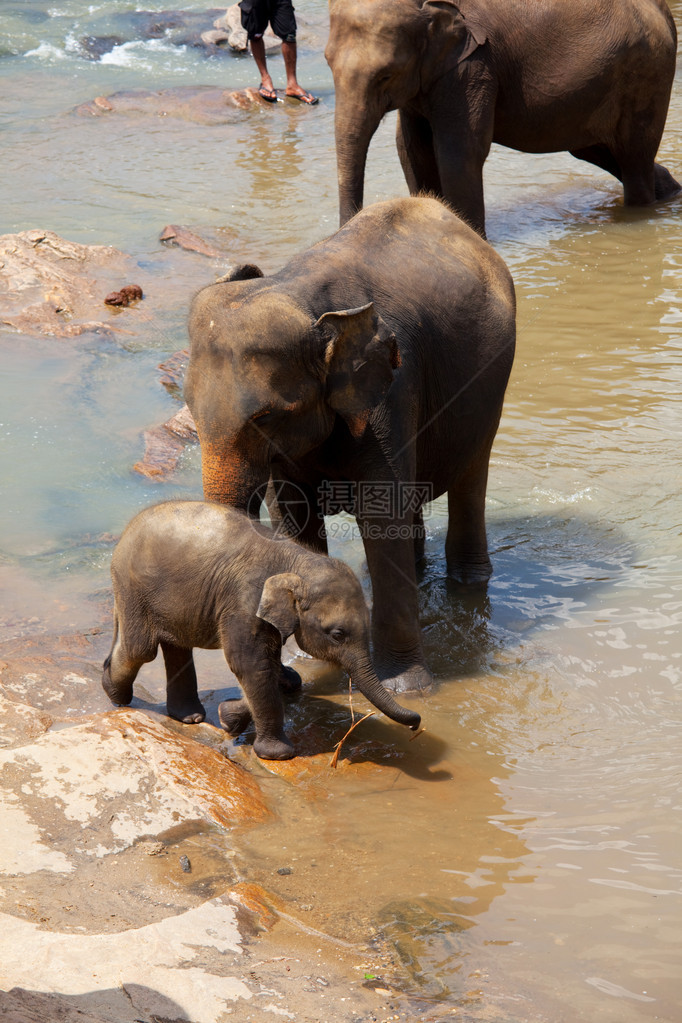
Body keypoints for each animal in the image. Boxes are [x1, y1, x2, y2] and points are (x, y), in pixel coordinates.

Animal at [101, 499, 421, 757]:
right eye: (337, 635)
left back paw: (189, 717)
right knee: (140, 649)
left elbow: (268, 662)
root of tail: (126, 532)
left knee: (176, 645)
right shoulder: (244, 601)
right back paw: (115, 693)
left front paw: (229, 717)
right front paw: (278, 755)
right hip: (133, 588)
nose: (417, 723)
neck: (297, 560)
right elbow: (251, 664)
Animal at [184, 197, 515, 695]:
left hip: (490, 384)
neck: (299, 296)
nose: (287, 679)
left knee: (470, 479)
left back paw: (469, 584)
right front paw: (306, 658)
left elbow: (381, 516)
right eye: (188, 408)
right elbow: (294, 518)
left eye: (265, 418)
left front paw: (408, 689)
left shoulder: (392, 392)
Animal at [327, 0, 682, 235]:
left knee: (633, 158)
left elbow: (458, 153)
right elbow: (413, 150)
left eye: (385, 75)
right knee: (597, 151)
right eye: (328, 62)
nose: (345, 232)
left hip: (646, 75)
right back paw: (670, 190)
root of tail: (664, 11)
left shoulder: (473, 67)